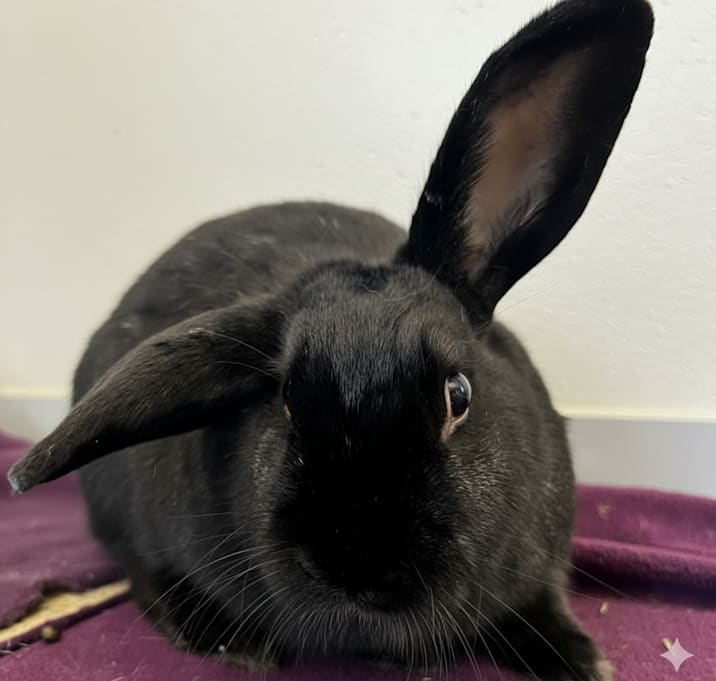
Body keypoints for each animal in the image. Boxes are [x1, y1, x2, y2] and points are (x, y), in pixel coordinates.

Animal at [9, 0, 653, 678]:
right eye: (288, 399)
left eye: (458, 395)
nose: (356, 565)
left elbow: (543, 607)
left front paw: (583, 659)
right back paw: (220, 634)